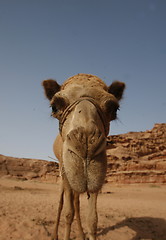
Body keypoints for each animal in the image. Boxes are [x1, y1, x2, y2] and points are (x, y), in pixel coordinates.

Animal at [42, 73, 125, 240]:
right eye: (54, 106)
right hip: (62, 171)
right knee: (62, 203)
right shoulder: (66, 173)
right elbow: (68, 213)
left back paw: (80, 234)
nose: (85, 145)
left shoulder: (97, 180)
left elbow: (92, 220)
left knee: (76, 203)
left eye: (114, 108)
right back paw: (54, 235)